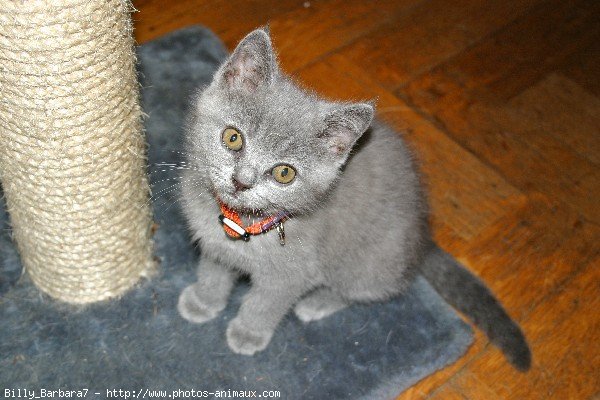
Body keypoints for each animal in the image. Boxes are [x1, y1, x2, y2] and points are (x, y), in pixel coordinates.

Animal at [177, 28, 528, 372]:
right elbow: (213, 271)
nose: (242, 181)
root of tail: (423, 233)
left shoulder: (291, 274)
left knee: (366, 288)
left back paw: (318, 302)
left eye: (284, 173)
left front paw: (248, 332)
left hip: (369, 260)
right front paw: (203, 301)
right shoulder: (215, 244)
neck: (243, 222)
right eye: (233, 137)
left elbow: (265, 303)